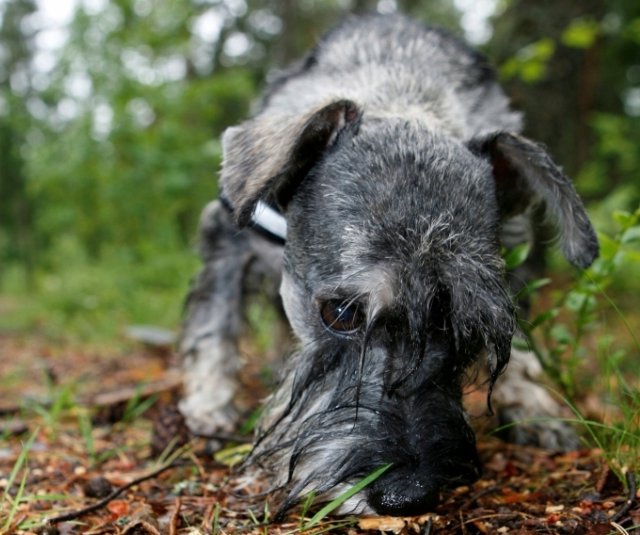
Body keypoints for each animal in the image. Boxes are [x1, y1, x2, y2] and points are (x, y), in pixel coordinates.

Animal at [176, 13, 600, 520]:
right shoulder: (228, 239)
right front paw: (208, 406)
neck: (402, 98)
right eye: (341, 313)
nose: (407, 495)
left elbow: (521, 344)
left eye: (467, 329)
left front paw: (531, 401)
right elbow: (213, 328)